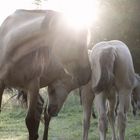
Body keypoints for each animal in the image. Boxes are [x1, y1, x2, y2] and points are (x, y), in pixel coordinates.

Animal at [0, 9, 91, 140]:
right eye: (76, 42)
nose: (88, 73)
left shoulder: (33, 84)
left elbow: (31, 121)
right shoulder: (1, 84)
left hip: (57, 92)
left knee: (47, 115)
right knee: (44, 111)